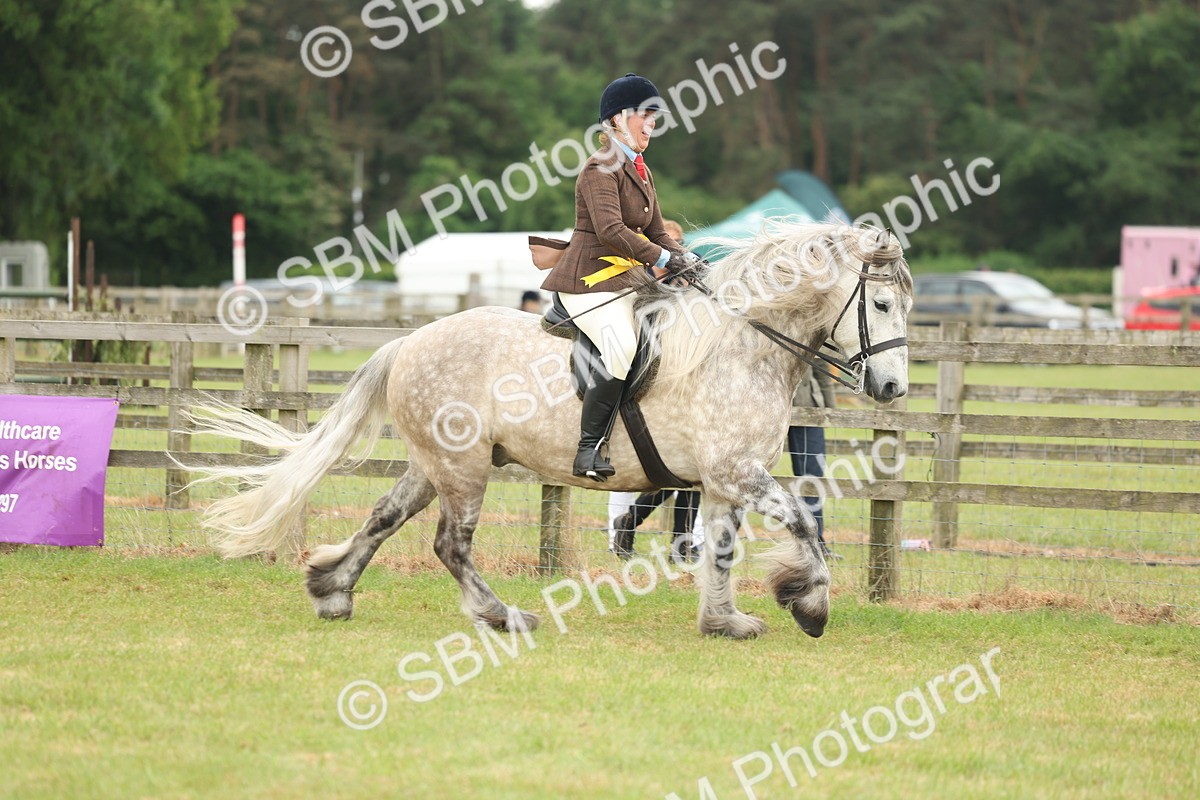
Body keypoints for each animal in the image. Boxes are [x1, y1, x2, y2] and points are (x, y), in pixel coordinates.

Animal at [184, 222, 912, 640]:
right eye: (880, 303)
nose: (893, 389)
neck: (740, 344)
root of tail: (410, 340)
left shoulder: (722, 482)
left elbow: (724, 549)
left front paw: (724, 620)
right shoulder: (737, 473)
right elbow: (804, 521)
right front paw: (809, 605)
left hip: (434, 464)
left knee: (383, 517)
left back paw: (331, 590)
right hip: (465, 470)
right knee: (450, 545)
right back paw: (502, 616)